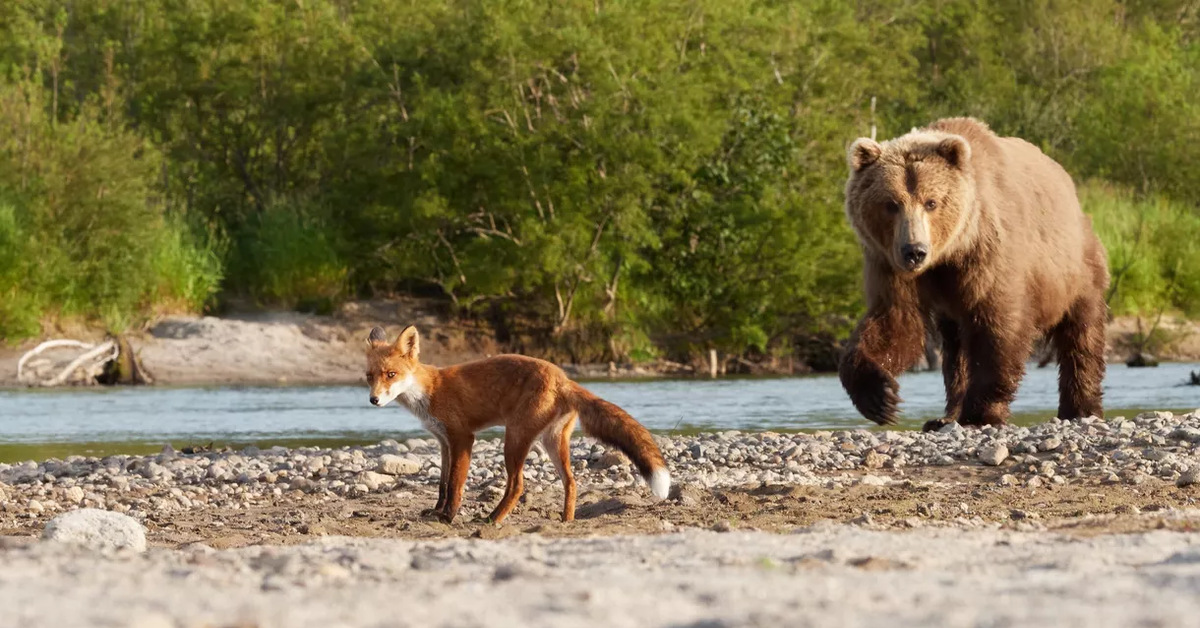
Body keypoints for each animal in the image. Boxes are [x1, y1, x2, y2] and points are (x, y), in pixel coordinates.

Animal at [360, 326, 672, 523]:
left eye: (391, 374)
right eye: (369, 376)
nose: (373, 400)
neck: (429, 391)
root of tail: (564, 378)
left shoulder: (463, 437)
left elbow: (456, 484)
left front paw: (447, 517)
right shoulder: (443, 441)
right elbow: (443, 484)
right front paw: (437, 512)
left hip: (514, 438)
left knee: (517, 485)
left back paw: (492, 519)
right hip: (551, 441)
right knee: (571, 481)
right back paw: (566, 520)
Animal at [840, 116, 1108, 432]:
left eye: (931, 202)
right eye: (891, 203)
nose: (914, 251)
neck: (948, 253)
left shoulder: (988, 255)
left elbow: (997, 328)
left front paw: (979, 413)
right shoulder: (891, 264)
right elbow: (895, 321)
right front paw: (880, 397)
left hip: (1074, 268)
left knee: (1081, 335)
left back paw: (1080, 408)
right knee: (955, 350)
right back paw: (944, 416)